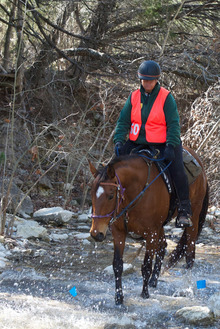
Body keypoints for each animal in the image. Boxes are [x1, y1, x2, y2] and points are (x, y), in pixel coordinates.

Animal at [88, 147, 209, 304]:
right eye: (91, 194)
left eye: (110, 195)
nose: (96, 233)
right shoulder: (119, 232)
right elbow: (117, 265)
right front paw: (119, 298)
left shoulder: (151, 233)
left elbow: (146, 266)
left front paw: (144, 294)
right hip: (160, 226)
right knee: (163, 247)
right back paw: (153, 282)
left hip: (193, 217)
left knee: (189, 254)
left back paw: (187, 288)